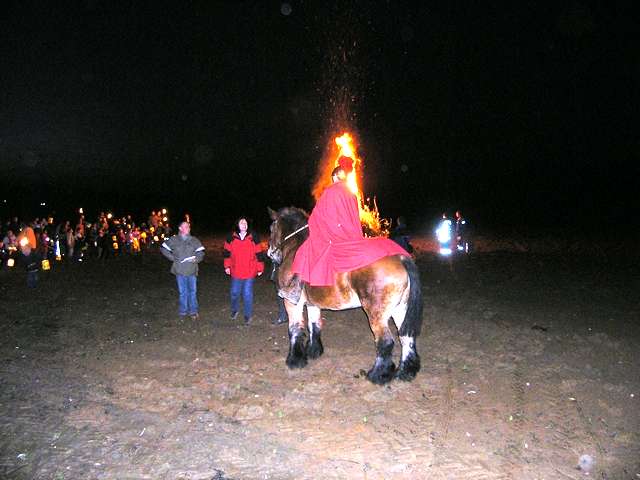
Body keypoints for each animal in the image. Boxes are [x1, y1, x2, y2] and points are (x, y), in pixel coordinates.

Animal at [266, 207, 422, 386]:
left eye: (271, 228)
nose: (270, 253)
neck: (295, 248)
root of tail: (401, 258)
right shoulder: (313, 304)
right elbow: (314, 326)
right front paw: (313, 351)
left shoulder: (292, 303)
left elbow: (295, 329)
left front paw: (295, 360)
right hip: (400, 309)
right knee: (406, 337)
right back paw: (405, 372)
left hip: (377, 313)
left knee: (386, 341)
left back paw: (377, 375)